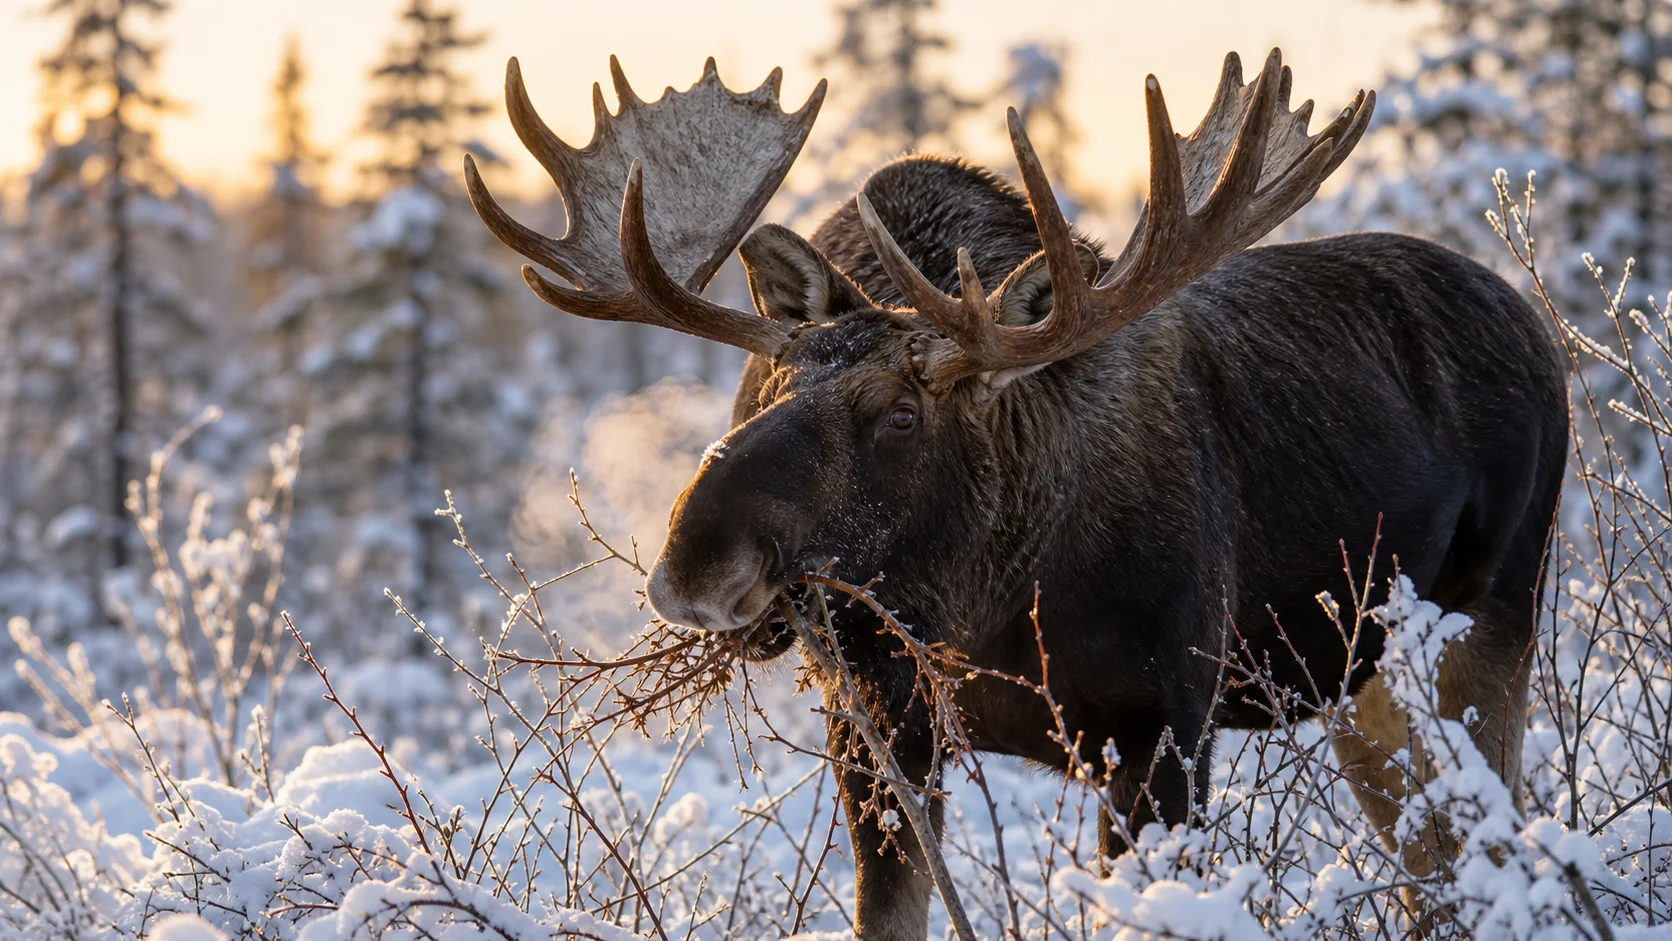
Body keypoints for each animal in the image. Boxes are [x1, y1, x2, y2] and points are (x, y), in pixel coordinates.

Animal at [466, 50, 1566, 940]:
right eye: (774, 382)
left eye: (900, 414)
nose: (692, 563)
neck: (983, 605)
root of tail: (1532, 323)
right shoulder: (875, 727)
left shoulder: (1167, 723)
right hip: (1352, 676)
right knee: (1429, 857)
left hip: (1492, 614)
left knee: (1497, 833)